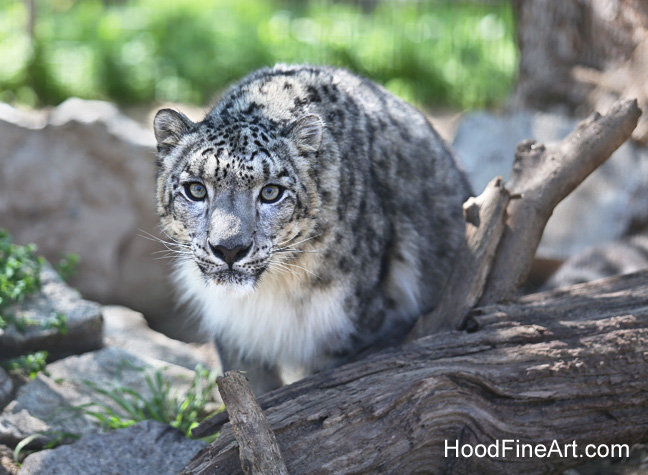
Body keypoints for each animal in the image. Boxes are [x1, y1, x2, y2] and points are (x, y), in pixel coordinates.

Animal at [153, 64, 472, 393]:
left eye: (271, 192)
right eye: (195, 189)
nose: (229, 249)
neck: (269, 294)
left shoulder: (344, 330)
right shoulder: (236, 335)